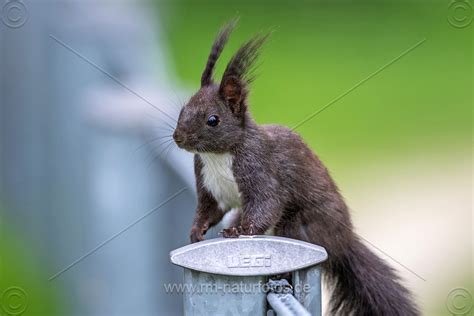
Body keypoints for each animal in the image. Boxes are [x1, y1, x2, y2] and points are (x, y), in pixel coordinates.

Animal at [172, 21, 416, 314]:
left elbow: (266, 203)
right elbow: (210, 210)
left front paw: (239, 231)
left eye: (213, 120)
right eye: (183, 110)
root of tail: (343, 242)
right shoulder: (209, 184)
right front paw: (196, 231)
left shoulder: (259, 167)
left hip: (301, 226)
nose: (178, 138)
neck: (218, 157)